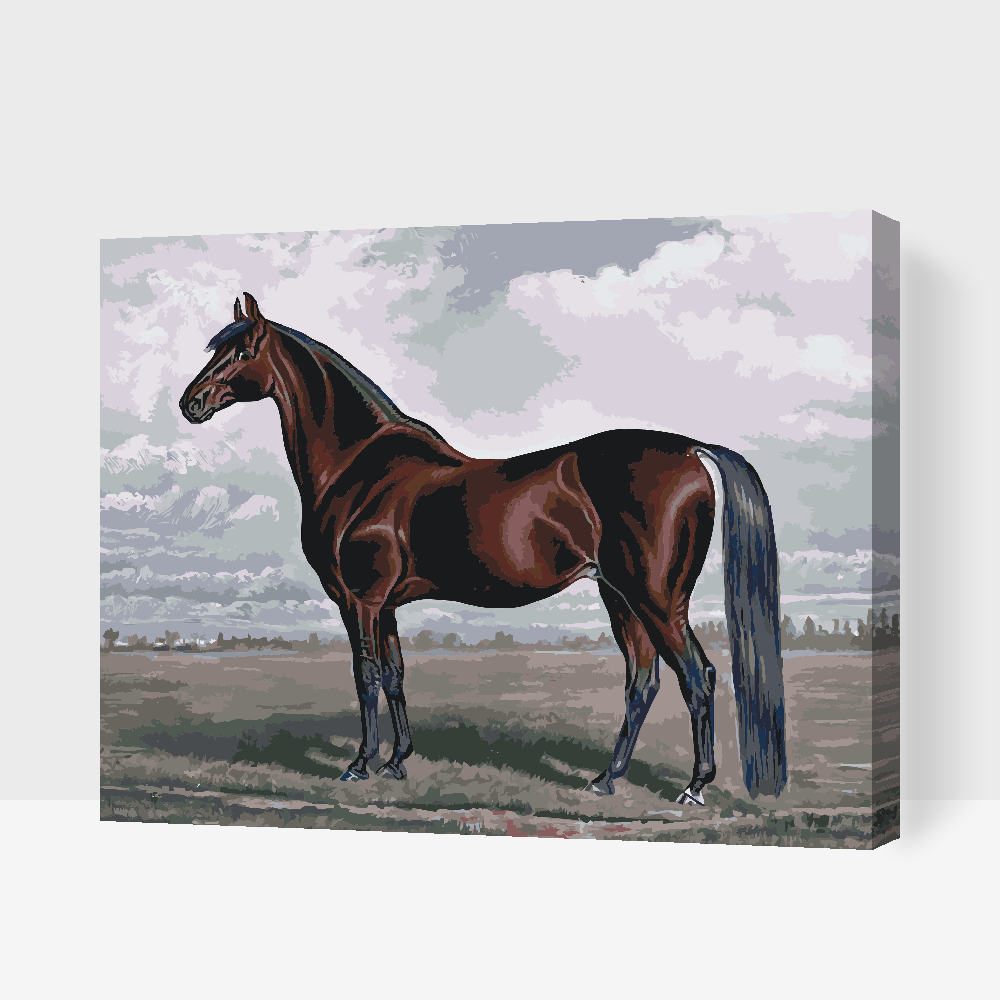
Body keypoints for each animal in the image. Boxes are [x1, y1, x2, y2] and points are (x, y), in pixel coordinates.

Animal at [180, 293, 786, 804]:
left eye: (242, 350)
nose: (191, 402)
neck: (358, 465)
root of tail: (691, 450)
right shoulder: (387, 604)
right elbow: (395, 674)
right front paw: (398, 761)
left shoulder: (360, 601)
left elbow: (366, 675)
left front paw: (360, 764)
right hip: (621, 598)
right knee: (643, 680)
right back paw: (605, 779)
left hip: (657, 600)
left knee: (696, 677)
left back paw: (693, 787)